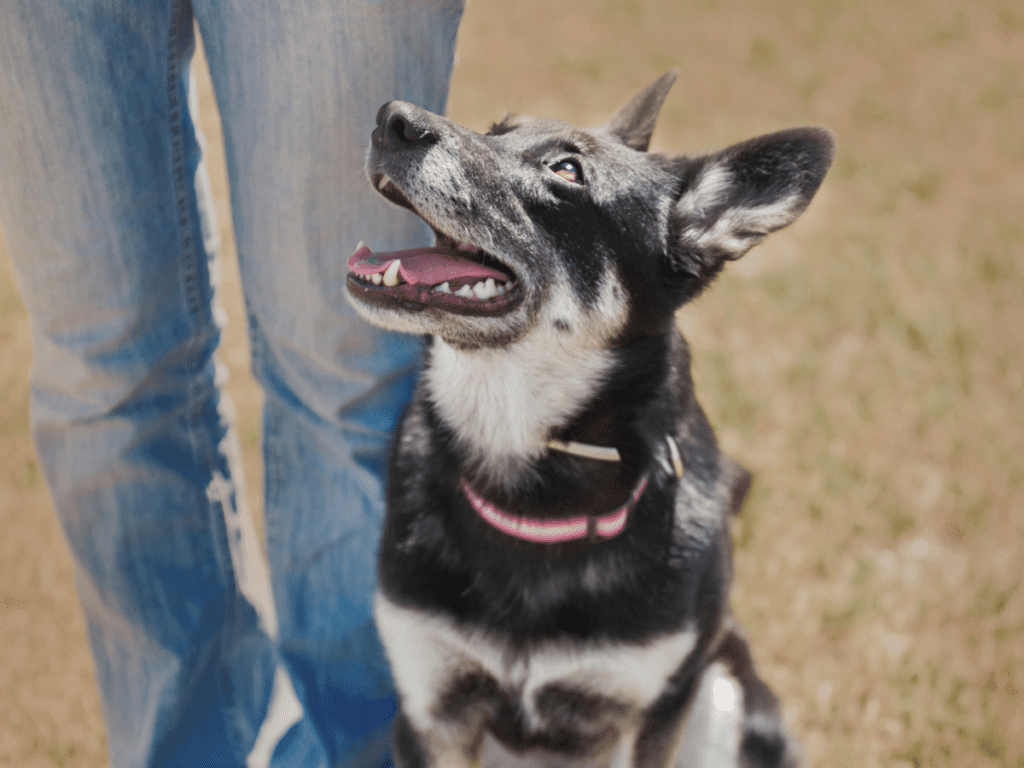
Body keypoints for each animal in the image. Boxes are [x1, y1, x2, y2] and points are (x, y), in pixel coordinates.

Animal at [344, 69, 831, 765]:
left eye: (567, 171)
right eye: (497, 131)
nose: (392, 118)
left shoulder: (642, 712)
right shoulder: (433, 707)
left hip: (724, 692)